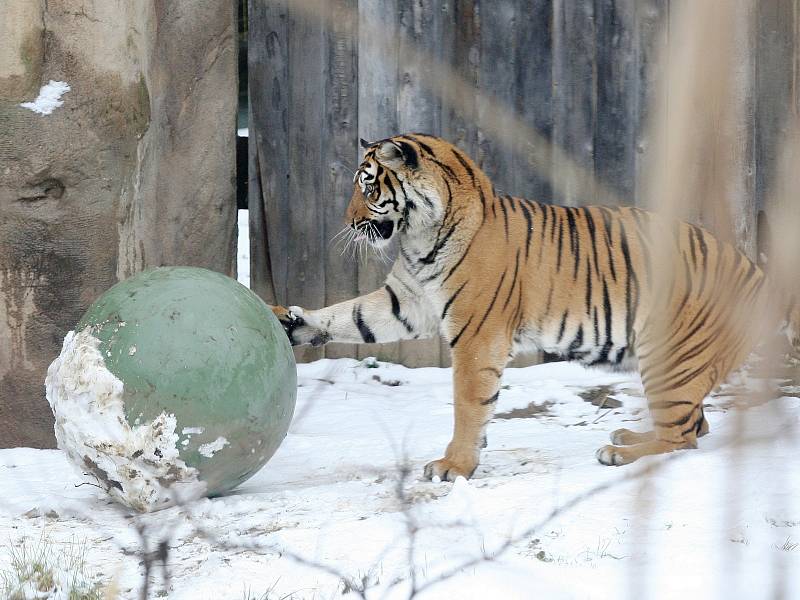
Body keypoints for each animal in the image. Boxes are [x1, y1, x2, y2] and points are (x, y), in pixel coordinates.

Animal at [270, 134, 800, 480]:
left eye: (368, 186)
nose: (348, 221)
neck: (418, 237)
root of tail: (757, 273)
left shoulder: (476, 335)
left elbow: (469, 403)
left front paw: (453, 466)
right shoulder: (405, 300)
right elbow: (350, 315)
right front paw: (293, 322)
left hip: (670, 354)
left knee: (685, 436)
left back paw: (618, 453)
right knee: (696, 424)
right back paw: (628, 438)